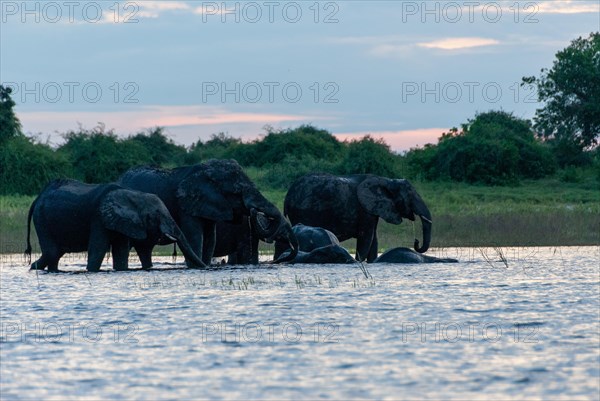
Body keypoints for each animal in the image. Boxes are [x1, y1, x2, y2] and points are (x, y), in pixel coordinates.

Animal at [25, 179, 206, 270]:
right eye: (155, 216)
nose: (205, 268)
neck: (132, 195)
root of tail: (38, 197)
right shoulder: (99, 217)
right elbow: (98, 249)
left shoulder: (124, 223)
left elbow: (120, 252)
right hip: (42, 220)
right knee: (52, 252)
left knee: (55, 254)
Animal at [282, 173, 428, 262]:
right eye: (410, 196)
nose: (416, 241)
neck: (386, 180)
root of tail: (287, 196)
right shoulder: (365, 210)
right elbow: (366, 239)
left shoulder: (372, 209)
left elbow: (373, 241)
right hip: (303, 210)